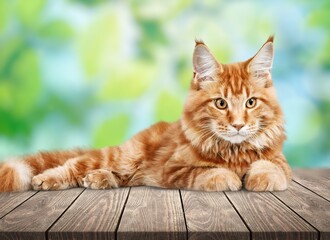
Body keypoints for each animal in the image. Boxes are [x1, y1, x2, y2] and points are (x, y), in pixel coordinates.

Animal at [0, 35, 292, 192]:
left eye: (251, 103)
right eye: (221, 104)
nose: (238, 125)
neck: (234, 152)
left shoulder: (279, 161)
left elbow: (273, 168)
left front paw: (260, 177)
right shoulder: (173, 169)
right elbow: (206, 172)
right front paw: (228, 177)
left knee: (117, 176)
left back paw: (98, 179)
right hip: (123, 156)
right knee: (74, 164)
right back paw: (46, 179)